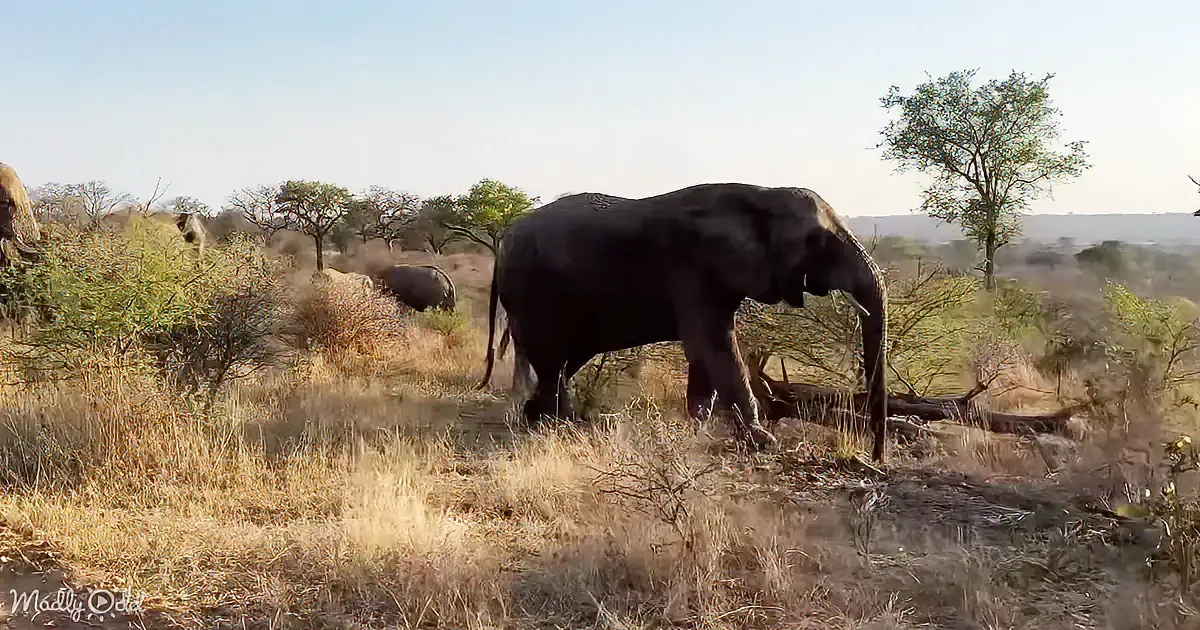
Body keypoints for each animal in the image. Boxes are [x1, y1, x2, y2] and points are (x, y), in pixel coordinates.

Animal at [478, 184, 890, 461]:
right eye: (816, 241)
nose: (874, 457)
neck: (758, 195)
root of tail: (502, 243)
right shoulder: (695, 270)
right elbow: (715, 345)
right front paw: (763, 442)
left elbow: (707, 350)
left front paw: (699, 427)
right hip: (534, 295)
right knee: (551, 359)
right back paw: (559, 425)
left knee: (564, 360)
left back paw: (544, 418)